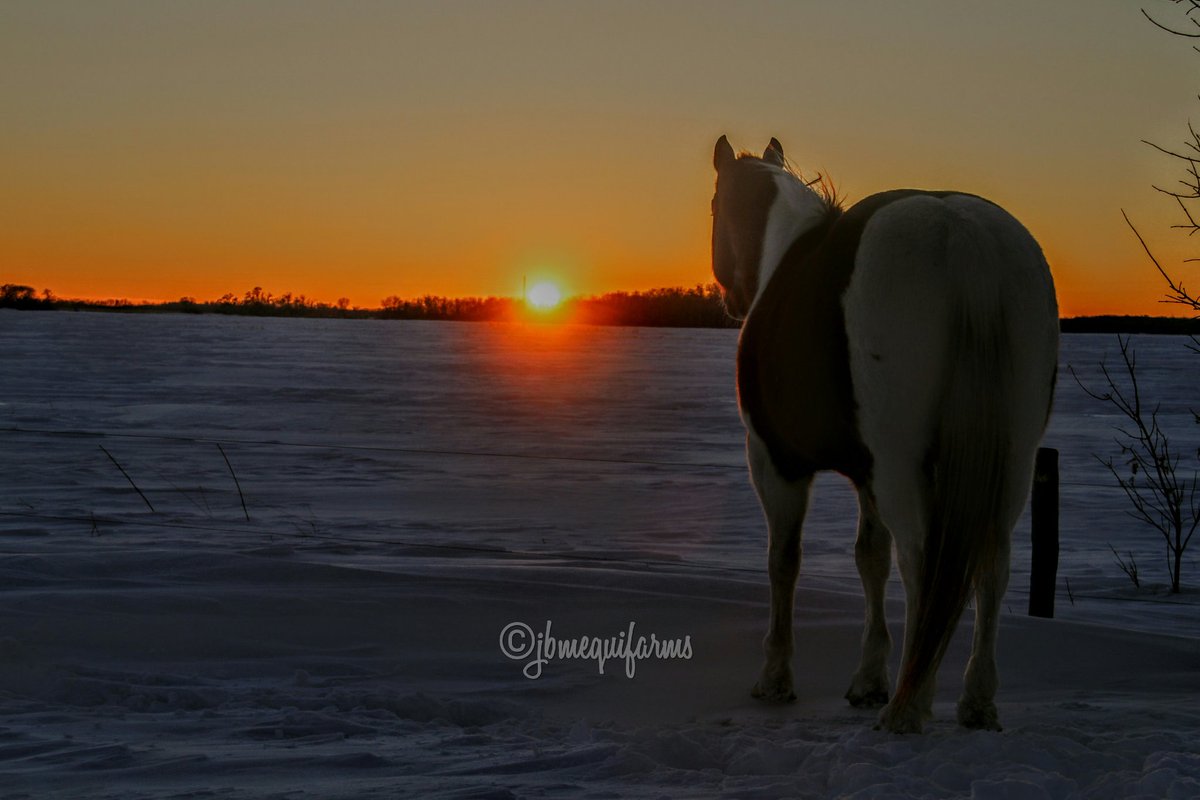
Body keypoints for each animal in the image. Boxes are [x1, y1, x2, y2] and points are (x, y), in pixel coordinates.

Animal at [711, 135, 1058, 733]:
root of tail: (962, 234)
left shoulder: (776, 463)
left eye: (714, 207)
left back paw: (910, 704)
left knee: (921, 561)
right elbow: (868, 557)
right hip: (1012, 463)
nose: (731, 300)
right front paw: (867, 679)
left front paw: (776, 677)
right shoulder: (865, 473)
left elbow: (785, 561)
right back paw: (974, 700)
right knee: (994, 563)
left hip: (901, 467)